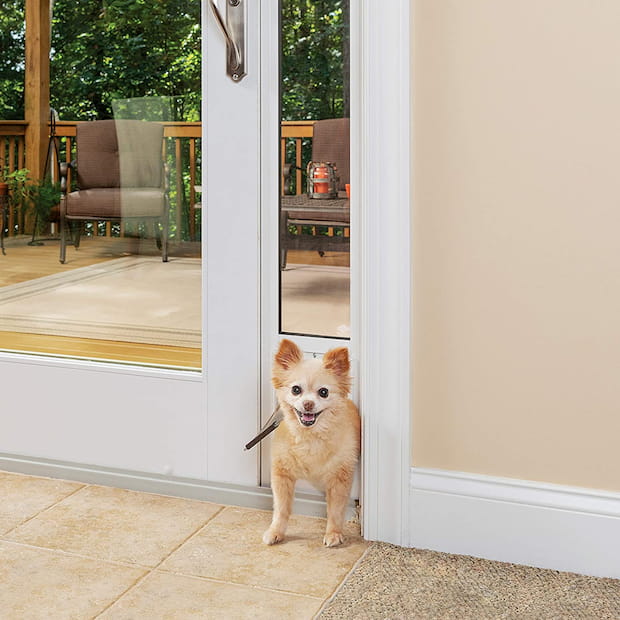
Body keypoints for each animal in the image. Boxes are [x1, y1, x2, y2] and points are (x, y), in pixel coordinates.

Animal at [264, 340, 360, 548]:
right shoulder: (282, 475)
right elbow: (281, 508)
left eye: (323, 392)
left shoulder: (340, 477)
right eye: (296, 390)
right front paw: (276, 531)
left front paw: (333, 533)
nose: (308, 404)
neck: (310, 436)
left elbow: (335, 509)